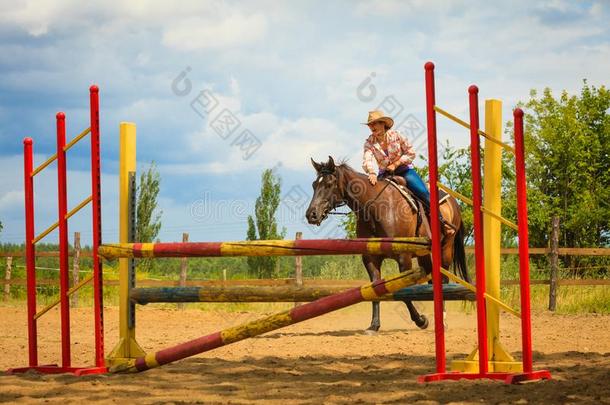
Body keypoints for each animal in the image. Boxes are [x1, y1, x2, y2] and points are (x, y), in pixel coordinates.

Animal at [304, 155, 470, 332]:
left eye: (329, 184)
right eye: (314, 185)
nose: (311, 215)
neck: (375, 208)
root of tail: (453, 201)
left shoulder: (404, 257)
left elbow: (404, 292)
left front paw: (421, 320)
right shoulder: (371, 258)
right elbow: (375, 289)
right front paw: (374, 325)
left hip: (446, 249)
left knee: (443, 281)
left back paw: (443, 320)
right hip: (423, 254)